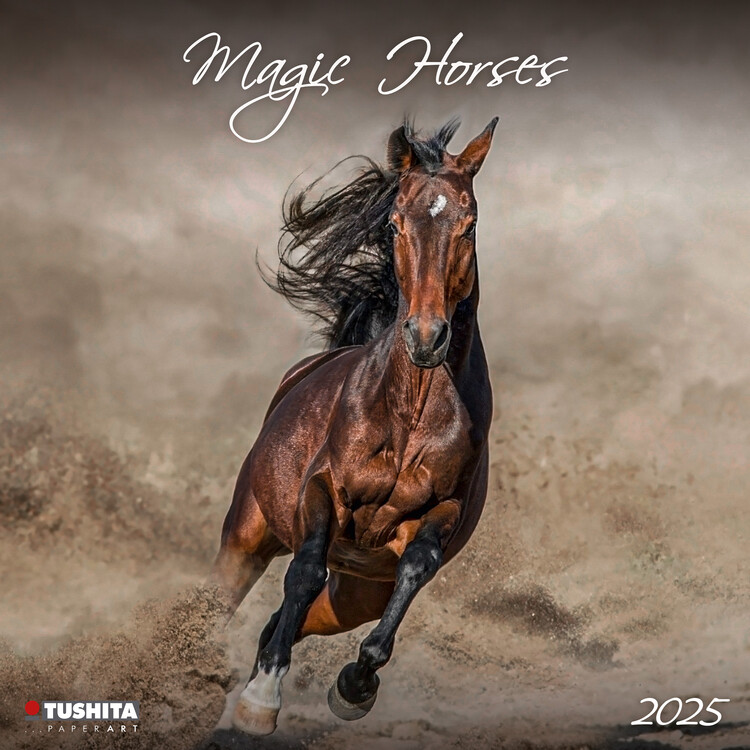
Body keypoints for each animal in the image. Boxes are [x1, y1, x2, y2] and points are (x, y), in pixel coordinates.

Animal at [209, 116, 498, 735]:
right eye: (394, 222)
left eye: (469, 224)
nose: (427, 337)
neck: (410, 413)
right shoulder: (323, 490)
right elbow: (304, 570)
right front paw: (260, 701)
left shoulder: (438, 515)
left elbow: (415, 569)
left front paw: (355, 686)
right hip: (247, 534)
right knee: (229, 598)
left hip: (357, 590)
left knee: (288, 619)